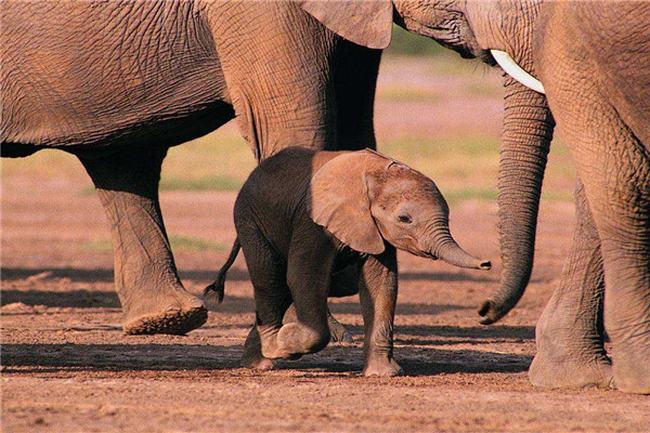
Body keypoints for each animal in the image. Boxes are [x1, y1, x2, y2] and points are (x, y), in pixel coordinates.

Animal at [205, 146, 488, 374]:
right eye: (404, 219)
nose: (487, 264)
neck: (374, 174)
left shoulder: (374, 229)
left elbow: (382, 283)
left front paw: (384, 374)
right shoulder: (312, 221)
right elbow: (304, 277)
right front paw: (285, 344)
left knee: (280, 289)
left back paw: (258, 358)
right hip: (249, 219)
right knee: (271, 280)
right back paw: (270, 354)